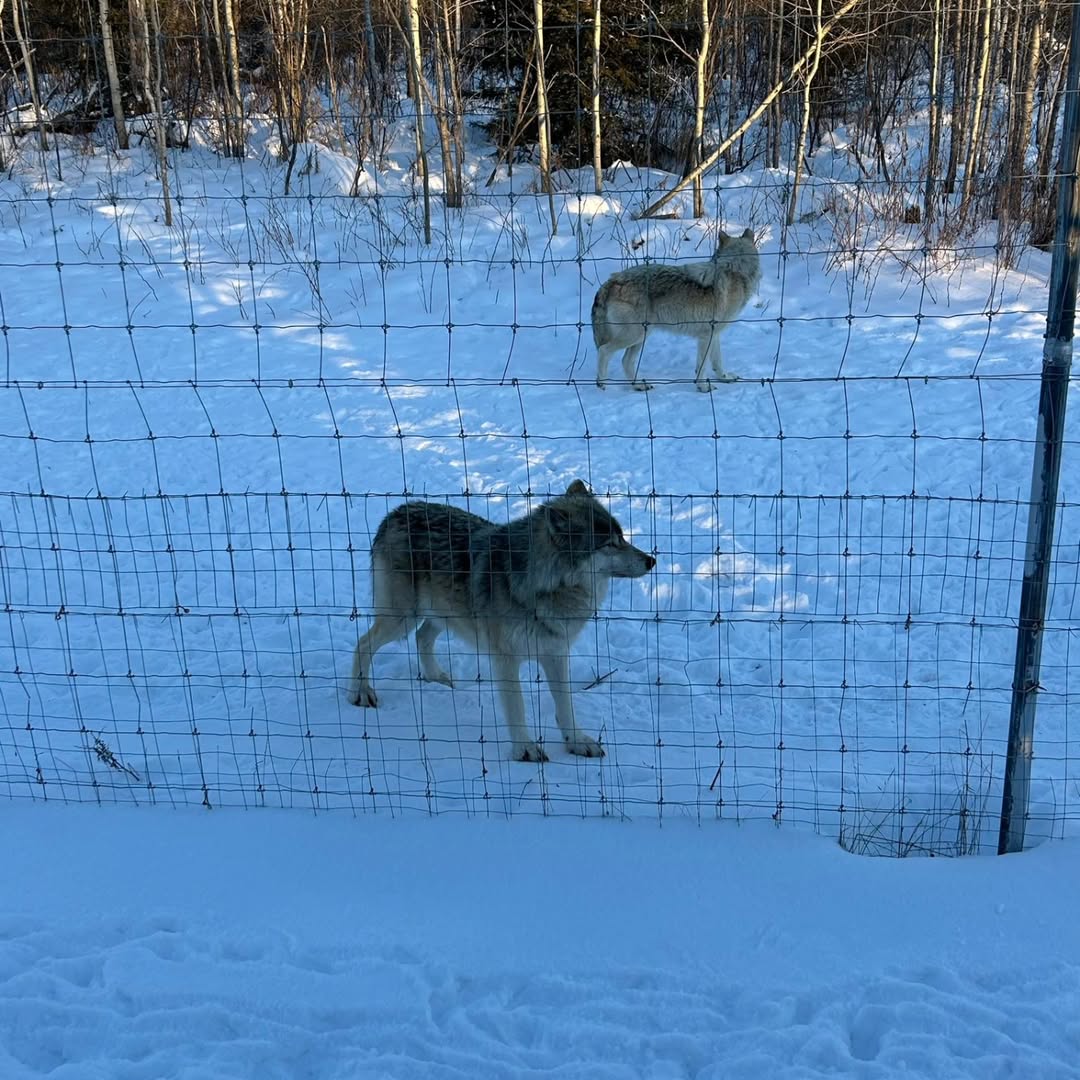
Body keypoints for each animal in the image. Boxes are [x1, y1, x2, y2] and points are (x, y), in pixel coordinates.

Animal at [591, 226, 760, 393]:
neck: (735, 270)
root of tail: (610, 281)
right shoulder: (706, 336)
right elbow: (702, 366)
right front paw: (703, 387)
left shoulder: (715, 333)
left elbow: (717, 362)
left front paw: (724, 378)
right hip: (634, 335)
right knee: (604, 351)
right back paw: (602, 385)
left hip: (641, 337)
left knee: (625, 361)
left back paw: (639, 385)